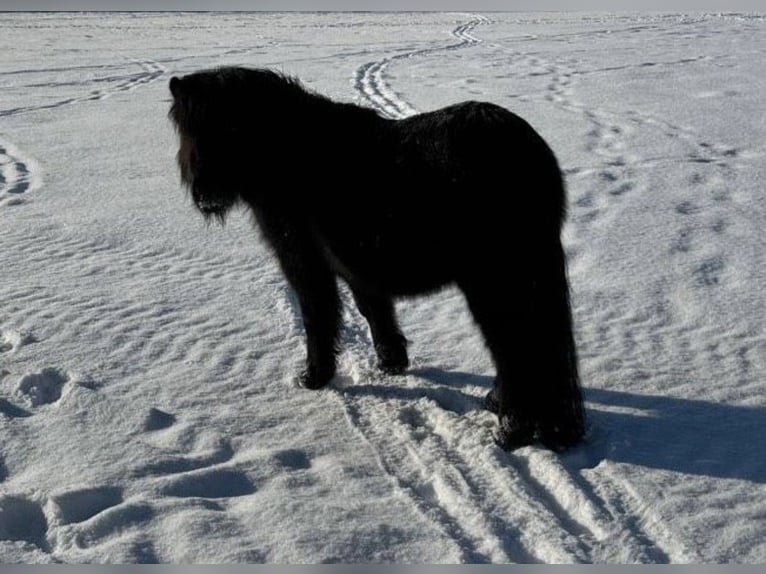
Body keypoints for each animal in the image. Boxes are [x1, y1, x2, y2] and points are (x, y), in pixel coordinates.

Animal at [170, 67, 588, 452]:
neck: (292, 155)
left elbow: (318, 320)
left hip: (493, 283)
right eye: (190, 130)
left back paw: (510, 430)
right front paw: (392, 363)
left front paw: (314, 378)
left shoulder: (306, 266)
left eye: (228, 127)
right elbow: (375, 311)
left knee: (514, 349)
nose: (205, 194)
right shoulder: (357, 267)